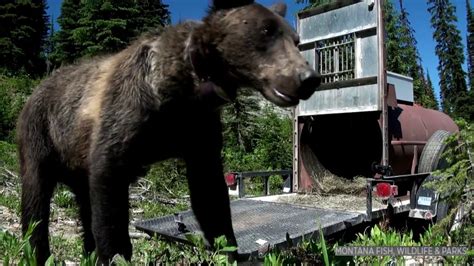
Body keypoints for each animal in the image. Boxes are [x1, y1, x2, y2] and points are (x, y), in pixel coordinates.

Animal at [16, 0, 320, 262]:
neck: (185, 88)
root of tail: (35, 90)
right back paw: (38, 252)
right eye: (266, 31)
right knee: (36, 202)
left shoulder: (198, 128)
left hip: (76, 159)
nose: (308, 78)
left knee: (84, 202)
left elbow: (210, 195)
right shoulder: (125, 115)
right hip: (40, 137)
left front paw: (228, 250)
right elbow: (109, 192)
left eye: (295, 40)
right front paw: (116, 254)